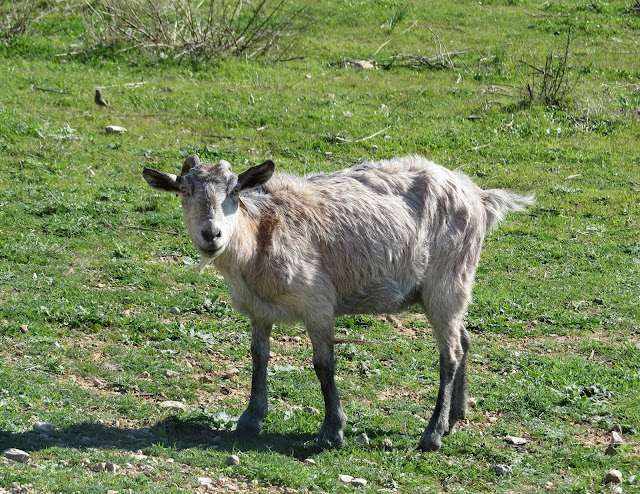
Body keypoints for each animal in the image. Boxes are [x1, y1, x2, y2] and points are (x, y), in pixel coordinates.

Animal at [143, 154, 533, 451]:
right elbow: (258, 358)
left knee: (449, 355)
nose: (212, 234)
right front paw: (250, 419)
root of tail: (480, 197)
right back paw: (455, 416)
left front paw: (332, 429)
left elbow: (323, 365)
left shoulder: (318, 303)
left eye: (235, 190)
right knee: (464, 339)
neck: (260, 236)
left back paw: (433, 433)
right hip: (445, 289)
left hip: (447, 280)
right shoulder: (258, 311)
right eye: (184, 190)